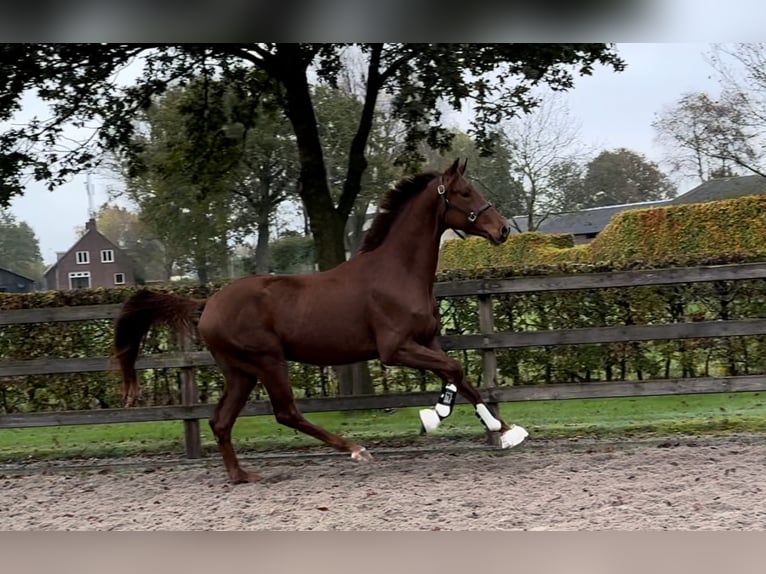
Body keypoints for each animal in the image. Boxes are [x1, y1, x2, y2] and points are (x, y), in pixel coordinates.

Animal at [114, 159, 528, 486]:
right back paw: (355, 449)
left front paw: (503, 430)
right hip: (267, 362)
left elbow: (459, 376)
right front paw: (442, 417)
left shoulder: (428, 341)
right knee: (286, 413)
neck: (398, 272)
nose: (503, 230)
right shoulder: (395, 349)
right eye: (464, 193)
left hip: (240, 372)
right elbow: (455, 369)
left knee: (221, 421)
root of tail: (208, 303)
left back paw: (242, 475)